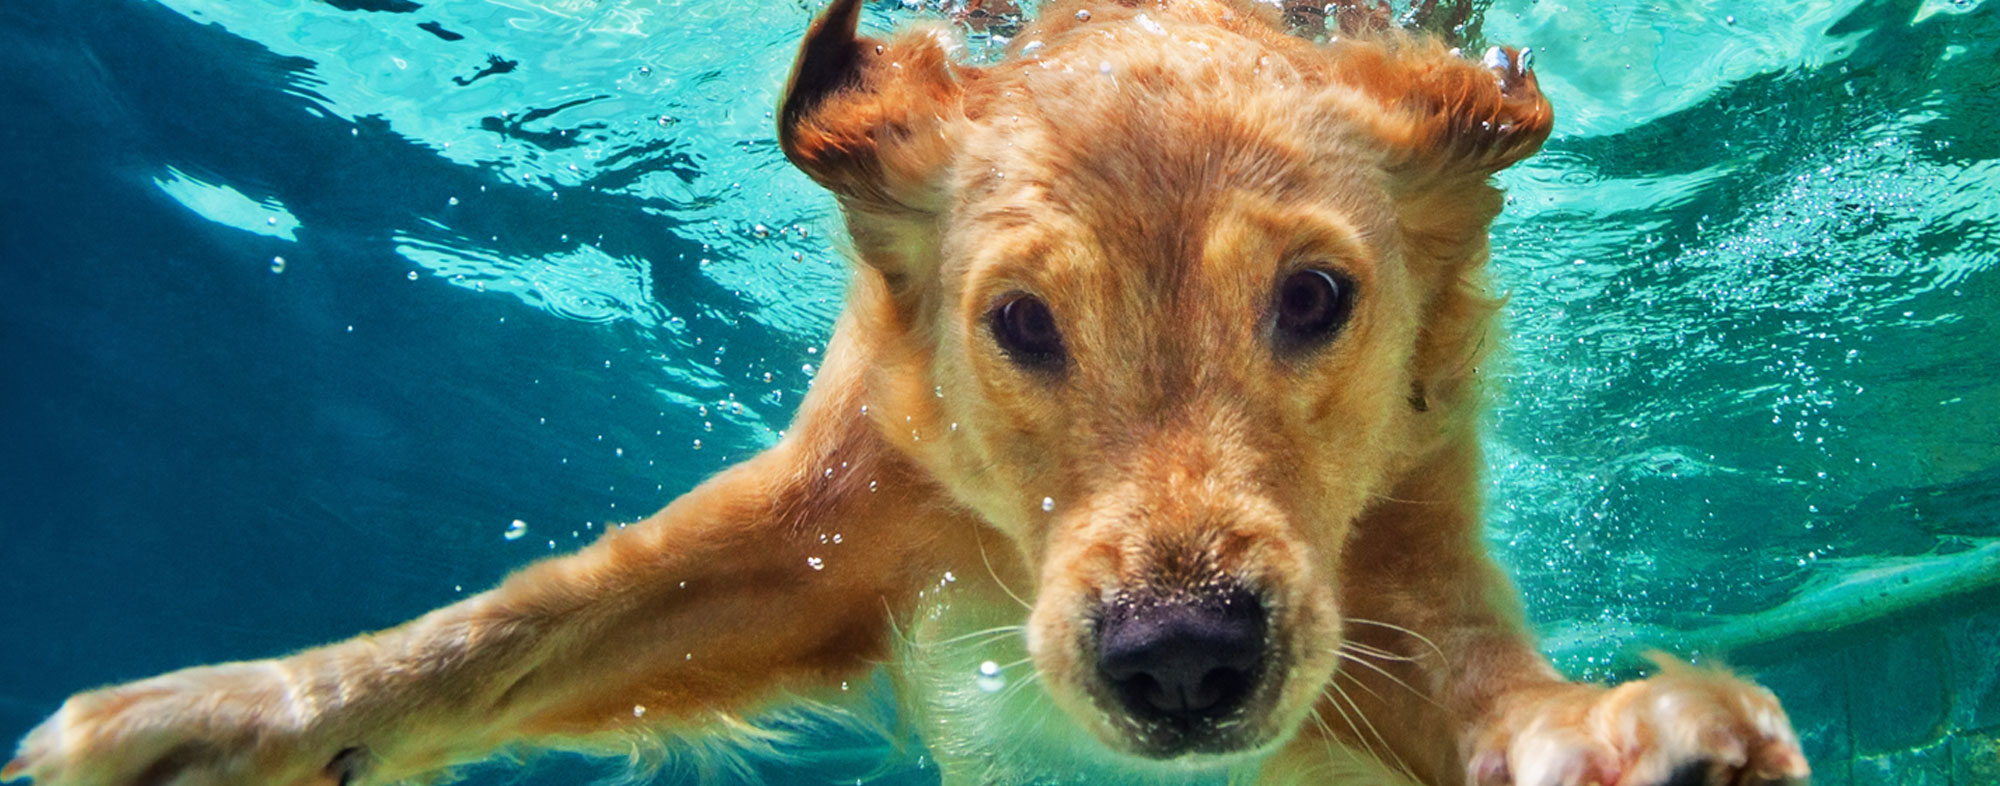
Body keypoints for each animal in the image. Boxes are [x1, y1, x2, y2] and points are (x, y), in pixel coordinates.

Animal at [0, 0, 1816, 780]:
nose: (1182, 660)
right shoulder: (831, 521)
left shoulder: (1392, 561)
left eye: (1315, 298)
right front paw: (218, 718)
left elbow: (1472, 681)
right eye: (1019, 321)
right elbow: (513, 624)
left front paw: (1617, 731)